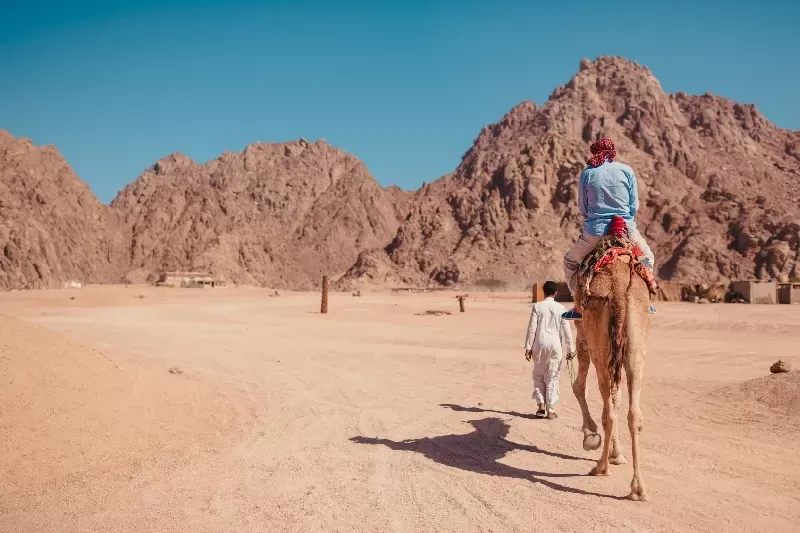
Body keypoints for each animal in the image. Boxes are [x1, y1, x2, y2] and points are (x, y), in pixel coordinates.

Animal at [570, 243, 652, 502]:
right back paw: (638, 488)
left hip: (600, 346)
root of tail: (618, 291)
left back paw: (600, 467)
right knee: (633, 413)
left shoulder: (582, 335)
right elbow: (617, 398)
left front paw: (590, 436)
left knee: (608, 411)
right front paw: (618, 453)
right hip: (635, 346)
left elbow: (578, 386)